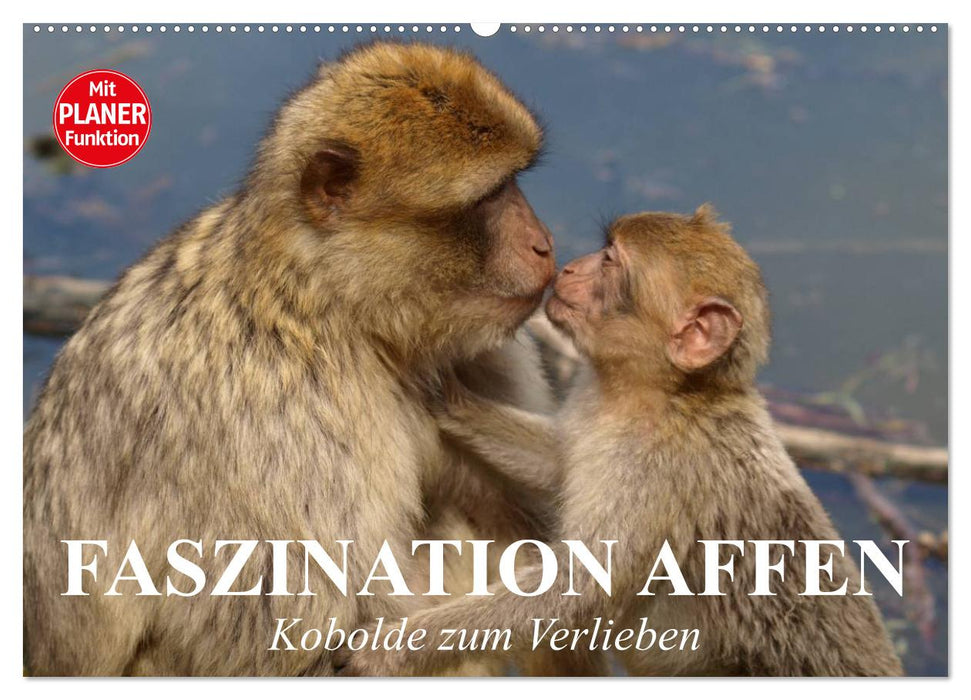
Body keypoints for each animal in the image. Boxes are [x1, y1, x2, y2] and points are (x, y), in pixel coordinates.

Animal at [23, 42, 581, 676]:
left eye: (516, 183)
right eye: (491, 196)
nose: (543, 243)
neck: (327, 305)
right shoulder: (282, 419)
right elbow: (289, 637)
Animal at [336, 206, 905, 677]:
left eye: (609, 261)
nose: (567, 267)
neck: (659, 395)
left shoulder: (654, 470)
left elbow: (575, 590)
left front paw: (393, 648)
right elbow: (558, 461)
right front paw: (446, 396)